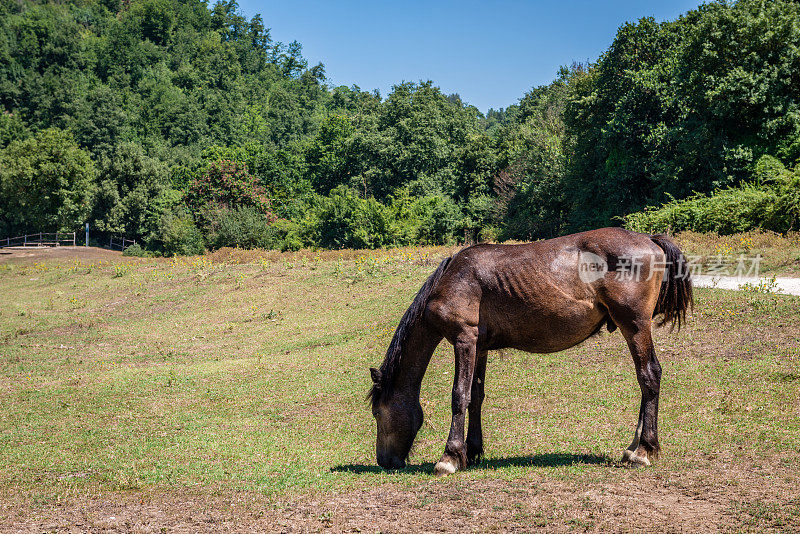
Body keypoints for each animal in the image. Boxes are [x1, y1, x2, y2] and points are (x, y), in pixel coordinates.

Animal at [370, 228, 692, 476]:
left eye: (377, 412)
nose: (385, 462)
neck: (454, 279)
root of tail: (649, 239)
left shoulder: (464, 339)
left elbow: (459, 396)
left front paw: (450, 457)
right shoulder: (479, 347)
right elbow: (476, 397)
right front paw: (471, 452)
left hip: (635, 326)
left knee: (649, 376)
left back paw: (644, 451)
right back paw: (633, 447)